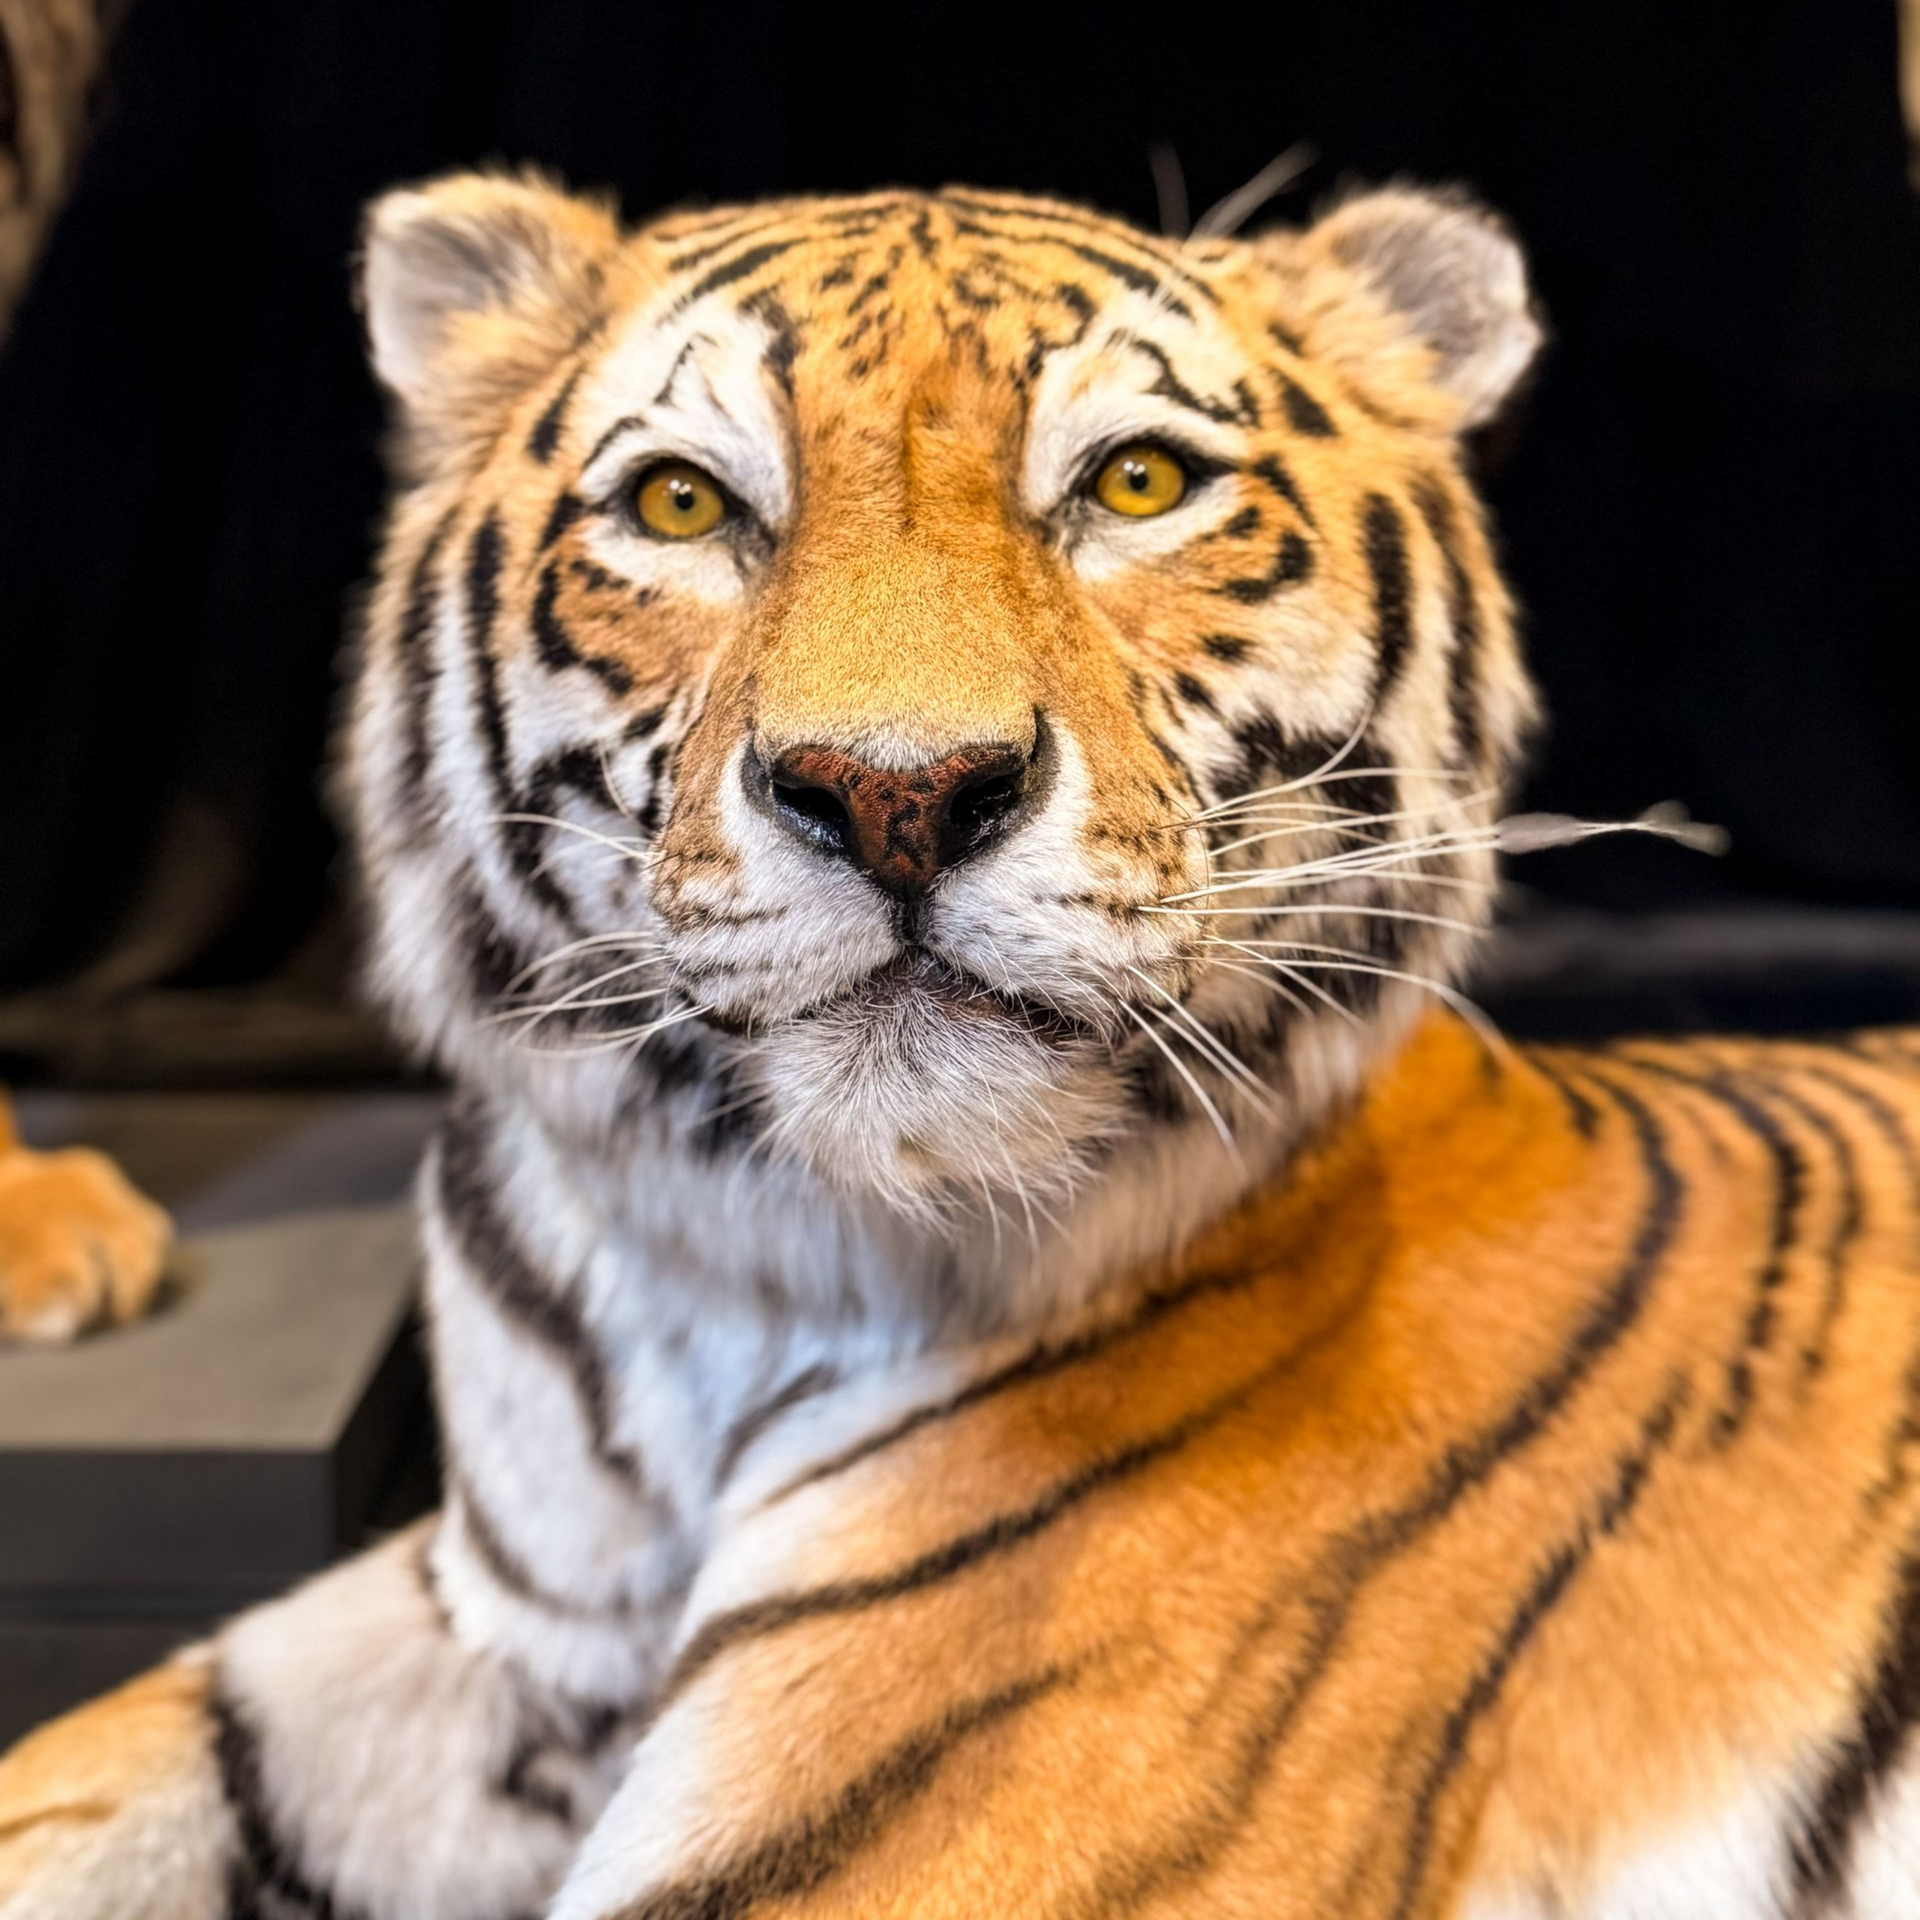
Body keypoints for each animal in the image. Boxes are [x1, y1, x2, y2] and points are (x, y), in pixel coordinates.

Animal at [4, 167, 1919, 1920]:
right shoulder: (503, 1626)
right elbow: (98, 1773)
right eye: (683, 502)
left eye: (1136, 481)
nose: (898, 793)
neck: (718, 1287)